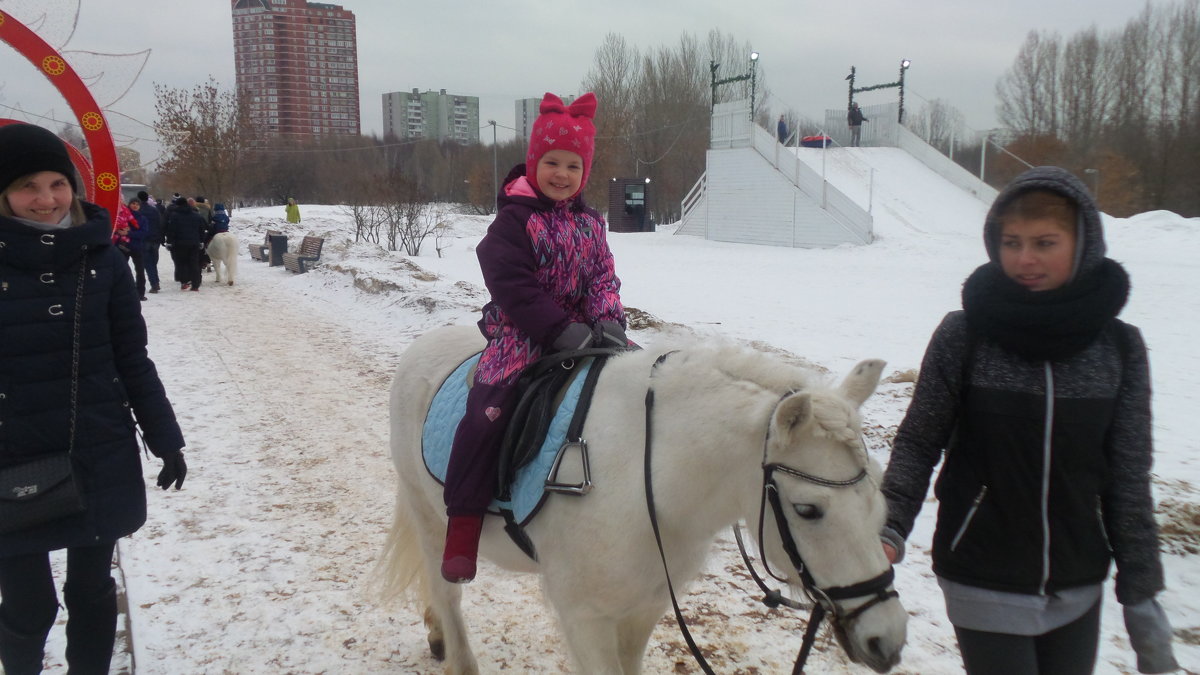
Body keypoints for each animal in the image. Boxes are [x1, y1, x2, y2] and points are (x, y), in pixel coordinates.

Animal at [379, 324, 902, 667]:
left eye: (878, 506)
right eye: (807, 510)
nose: (888, 641)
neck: (648, 478)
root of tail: (426, 342)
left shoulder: (643, 609)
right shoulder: (586, 619)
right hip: (431, 517)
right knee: (446, 591)